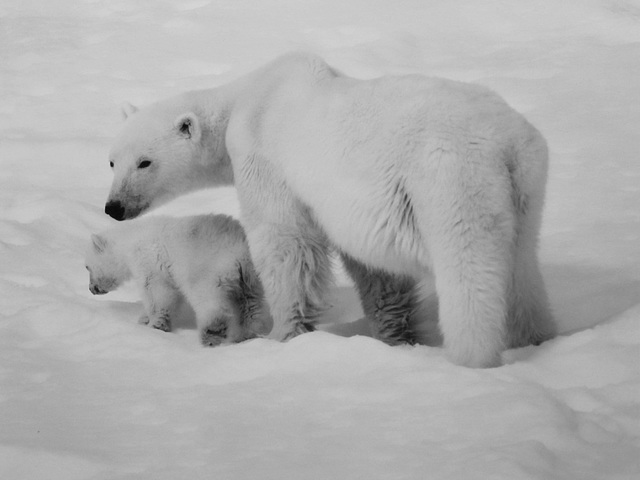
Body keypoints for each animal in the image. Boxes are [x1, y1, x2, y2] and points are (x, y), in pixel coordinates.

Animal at [84, 214, 268, 344]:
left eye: (86, 267)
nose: (91, 289)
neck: (132, 238)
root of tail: (242, 250)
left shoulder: (149, 261)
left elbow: (156, 292)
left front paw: (155, 324)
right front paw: (144, 318)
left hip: (210, 268)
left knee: (209, 299)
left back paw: (211, 332)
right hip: (251, 277)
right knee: (252, 304)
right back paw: (246, 334)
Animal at [104, 52, 556, 368]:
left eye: (144, 162)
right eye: (111, 161)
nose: (114, 207)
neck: (246, 99)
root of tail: (503, 146)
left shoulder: (264, 159)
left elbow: (284, 243)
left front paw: (282, 334)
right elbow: (375, 269)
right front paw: (393, 333)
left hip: (447, 180)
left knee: (469, 272)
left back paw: (470, 356)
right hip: (527, 186)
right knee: (522, 269)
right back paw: (535, 338)